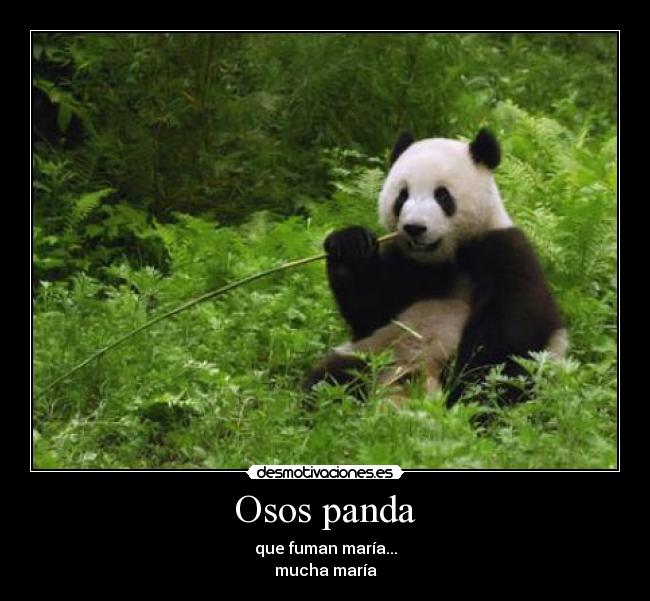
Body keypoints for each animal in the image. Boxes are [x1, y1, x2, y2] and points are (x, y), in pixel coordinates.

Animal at [305, 128, 567, 408]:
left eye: (442, 195)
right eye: (402, 196)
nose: (414, 228)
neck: (444, 259)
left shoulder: (504, 252)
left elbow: (508, 330)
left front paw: (466, 386)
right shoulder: (403, 263)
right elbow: (368, 311)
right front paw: (350, 244)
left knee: (509, 381)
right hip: (375, 351)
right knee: (332, 378)